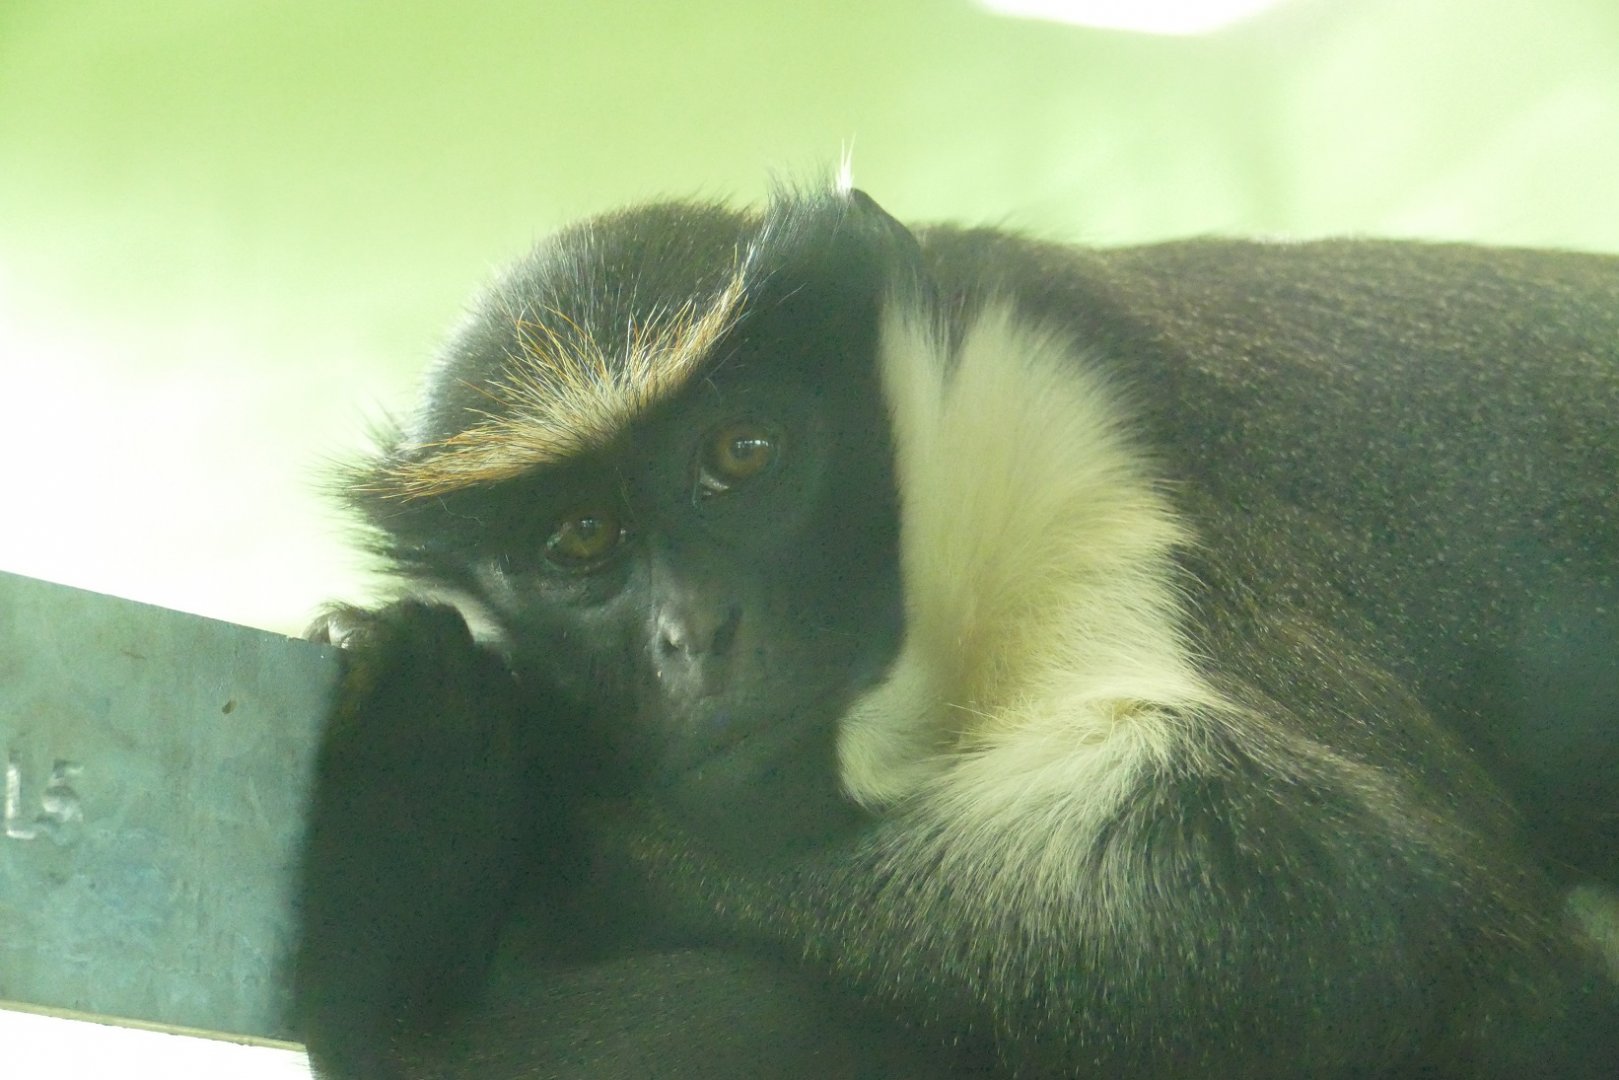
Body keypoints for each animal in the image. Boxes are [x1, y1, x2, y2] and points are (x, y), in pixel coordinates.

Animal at [292, 183, 1619, 1079]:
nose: (690, 633)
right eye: (577, 541)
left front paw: (506, 826)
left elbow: (1360, 890)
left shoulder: (1107, 465)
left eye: (742, 455)